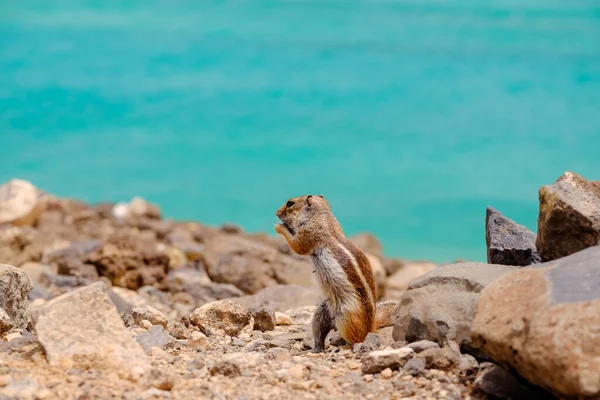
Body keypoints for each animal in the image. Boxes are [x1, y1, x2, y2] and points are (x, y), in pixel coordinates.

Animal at [276, 195, 398, 352]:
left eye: (290, 203)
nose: (277, 212)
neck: (322, 216)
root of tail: (371, 326)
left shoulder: (309, 234)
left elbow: (297, 246)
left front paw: (279, 227)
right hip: (322, 312)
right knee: (319, 331)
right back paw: (316, 348)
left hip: (346, 318)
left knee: (356, 339)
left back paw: (344, 347)